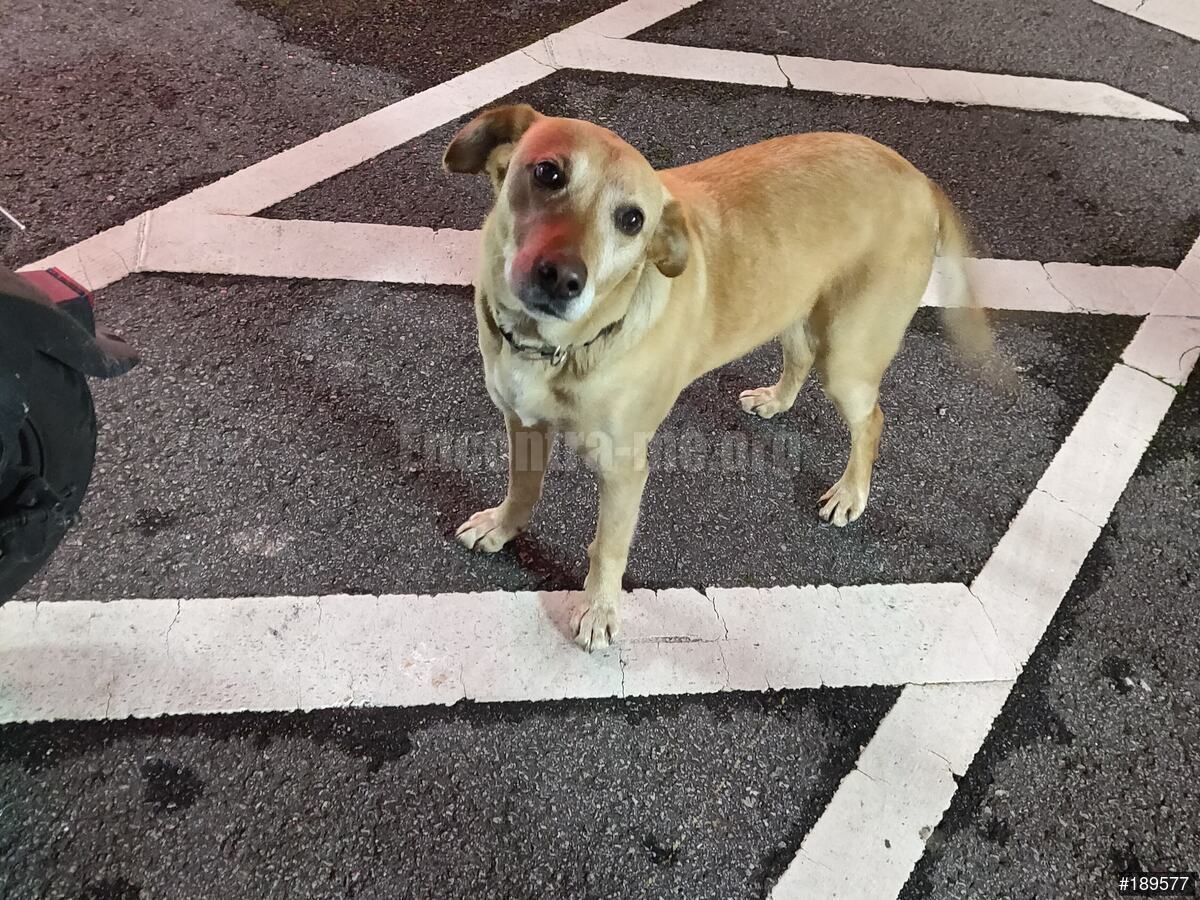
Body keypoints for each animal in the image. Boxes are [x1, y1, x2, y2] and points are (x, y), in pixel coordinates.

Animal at [443, 104, 993, 651]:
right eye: (547, 173)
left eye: (632, 220)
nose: (562, 278)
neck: (554, 347)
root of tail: (920, 179)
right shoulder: (521, 422)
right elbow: (522, 488)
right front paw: (502, 528)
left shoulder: (623, 468)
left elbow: (608, 548)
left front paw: (599, 611)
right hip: (791, 305)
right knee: (800, 356)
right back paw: (776, 400)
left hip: (848, 359)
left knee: (872, 420)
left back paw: (850, 493)